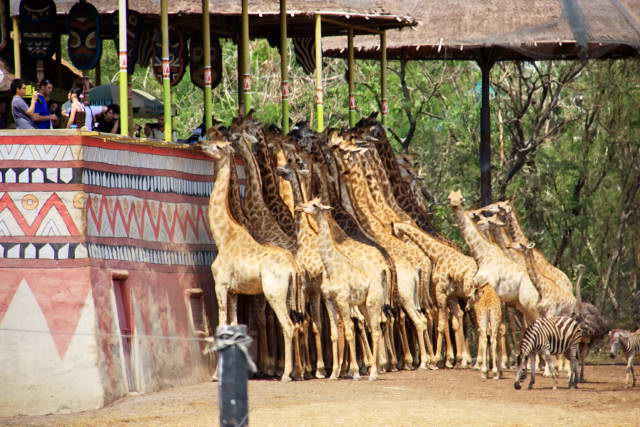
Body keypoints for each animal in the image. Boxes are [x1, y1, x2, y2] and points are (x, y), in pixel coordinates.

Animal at [195, 132, 298, 382]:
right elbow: (232, 328)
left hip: (273, 292)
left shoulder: (221, 284)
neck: (223, 235)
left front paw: (216, 375)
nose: (199, 144)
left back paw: (286, 374)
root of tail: (292, 268)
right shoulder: (235, 291)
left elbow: (221, 327)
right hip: (287, 295)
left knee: (288, 326)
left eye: (218, 146)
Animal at [448, 189, 544, 326]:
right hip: (523, 305)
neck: (483, 255)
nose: (455, 204)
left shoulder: (490, 286)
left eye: (461, 198)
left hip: (530, 305)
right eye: (449, 197)